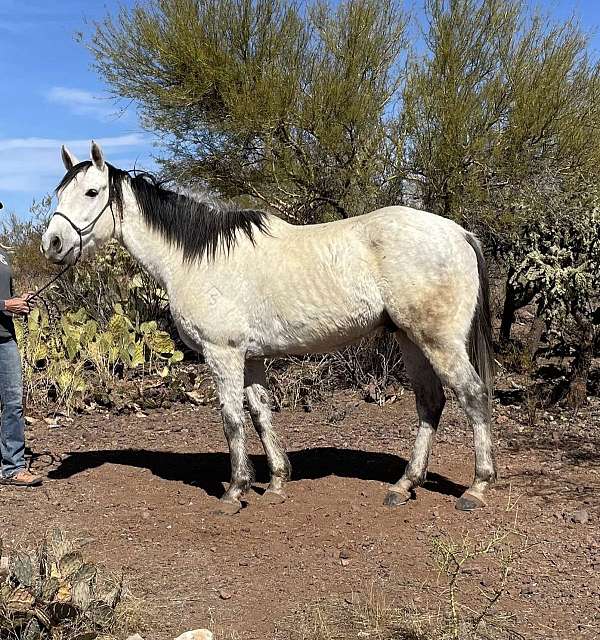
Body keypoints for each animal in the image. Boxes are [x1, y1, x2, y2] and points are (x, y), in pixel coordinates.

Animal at [39, 141, 494, 516]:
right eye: (60, 193)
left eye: (92, 192)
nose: (53, 244)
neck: (196, 258)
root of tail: (458, 232)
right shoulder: (251, 356)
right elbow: (260, 413)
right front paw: (276, 481)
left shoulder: (223, 353)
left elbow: (231, 417)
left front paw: (234, 490)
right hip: (409, 339)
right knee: (430, 402)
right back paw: (404, 485)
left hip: (438, 341)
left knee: (472, 395)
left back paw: (476, 488)